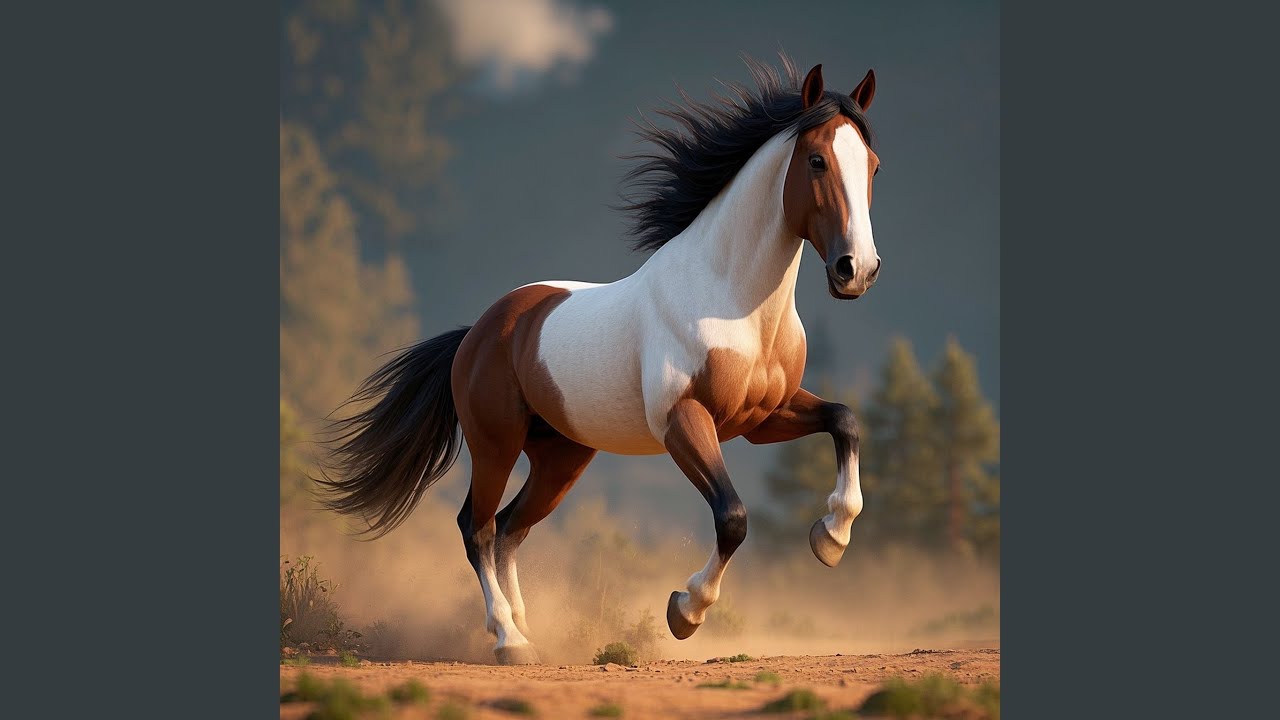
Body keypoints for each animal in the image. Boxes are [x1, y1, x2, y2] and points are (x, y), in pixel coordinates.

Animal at [317, 56, 883, 665]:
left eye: (873, 166)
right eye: (817, 160)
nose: (857, 270)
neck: (731, 300)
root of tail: (481, 331)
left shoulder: (762, 419)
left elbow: (845, 420)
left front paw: (831, 537)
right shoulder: (684, 422)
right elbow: (732, 518)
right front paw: (685, 611)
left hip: (561, 457)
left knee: (510, 529)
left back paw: (525, 628)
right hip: (496, 445)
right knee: (478, 526)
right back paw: (509, 639)